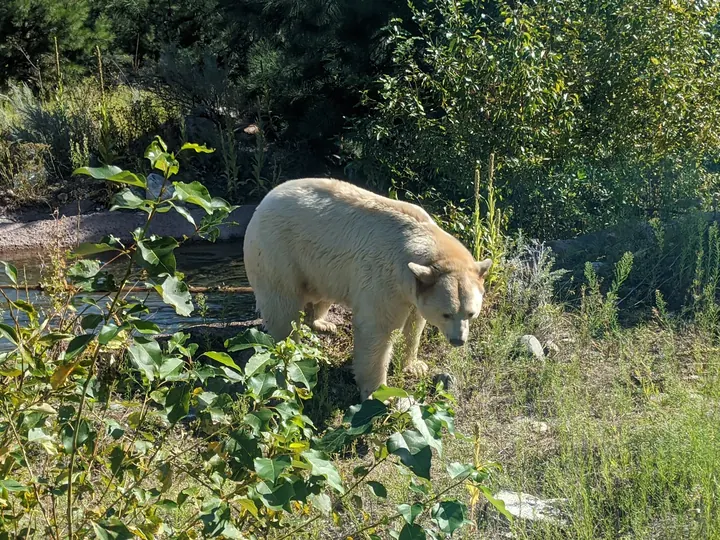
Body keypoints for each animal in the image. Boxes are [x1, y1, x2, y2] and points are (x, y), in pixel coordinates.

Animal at [243, 177, 492, 401]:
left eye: (471, 313)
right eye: (446, 314)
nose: (458, 341)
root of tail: (262, 204)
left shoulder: (413, 287)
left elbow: (415, 323)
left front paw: (415, 365)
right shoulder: (385, 278)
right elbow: (377, 330)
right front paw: (377, 392)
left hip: (318, 266)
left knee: (321, 295)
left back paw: (322, 323)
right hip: (277, 251)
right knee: (282, 309)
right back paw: (289, 348)